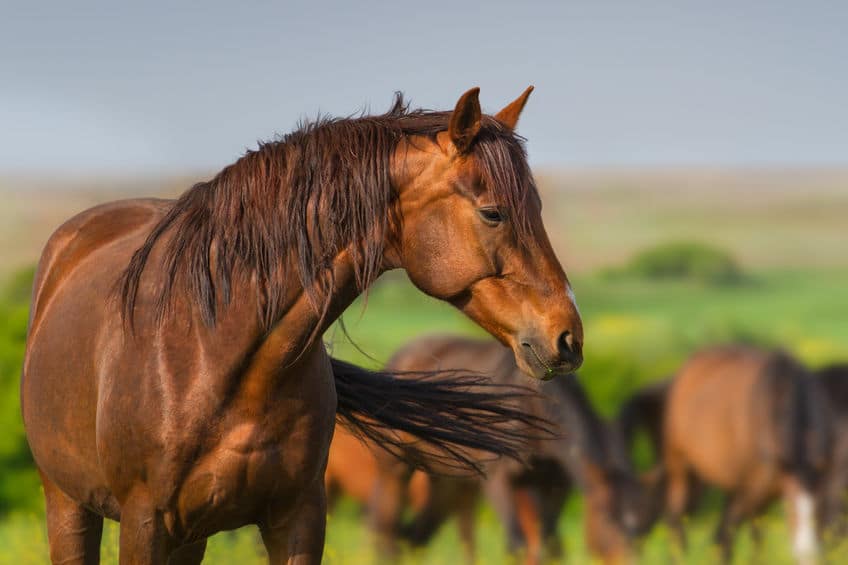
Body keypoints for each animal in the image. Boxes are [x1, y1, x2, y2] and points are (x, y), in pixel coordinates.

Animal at [21, 86, 584, 564]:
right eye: (493, 213)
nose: (568, 338)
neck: (214, 354)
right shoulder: (145, 523)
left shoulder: (297, 519)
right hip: (68, 504)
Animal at [335, 335, 659, 565]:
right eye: (607, 517)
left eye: (645, 526)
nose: (628, 560)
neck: (535, 405)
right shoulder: (498, 478)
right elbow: (517, 544)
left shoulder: (553, 485)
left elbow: (549, 545)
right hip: (395, 467)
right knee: (384, 527)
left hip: (449, 480)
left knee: (415, 536)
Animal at [660, 345, 831, 564]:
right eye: (789, 511)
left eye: (820, 509)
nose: (808, 554)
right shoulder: (750, 491)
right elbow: (731, 534)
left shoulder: (766, 493)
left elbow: (756, 539)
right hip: (681, 468)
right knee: (676, 520)